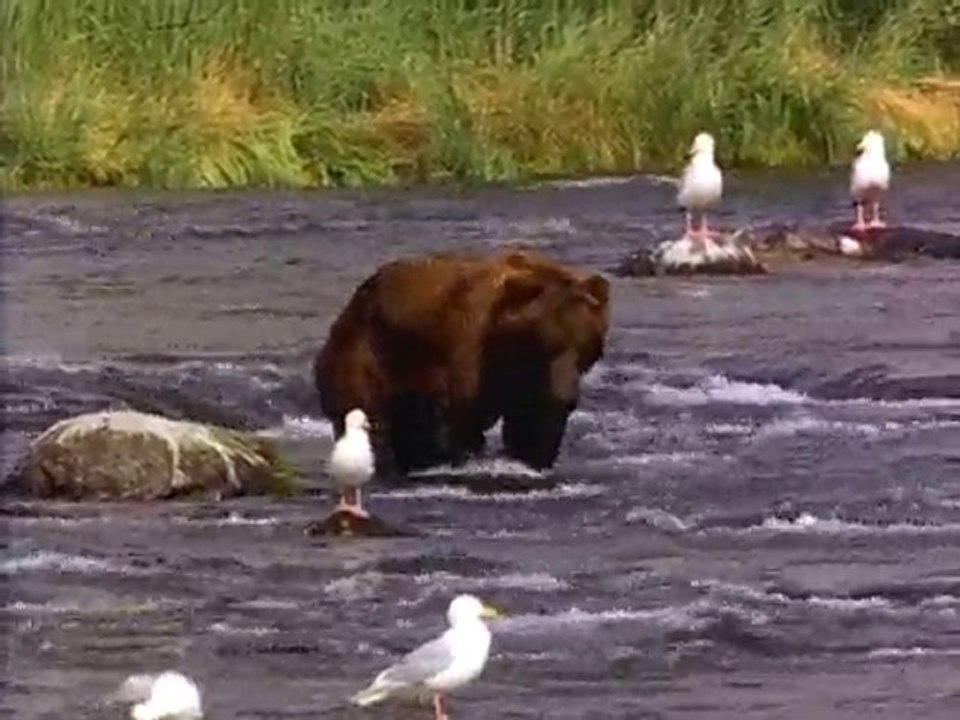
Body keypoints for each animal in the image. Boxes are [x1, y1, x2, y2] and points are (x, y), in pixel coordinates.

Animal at [313, 249, 611, 475]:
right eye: (549, 344)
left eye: (586, 347)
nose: (567, 397)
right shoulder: (467, 353)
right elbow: (460, 424)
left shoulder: (530, 385)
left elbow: (533, 427)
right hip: (368, 355)